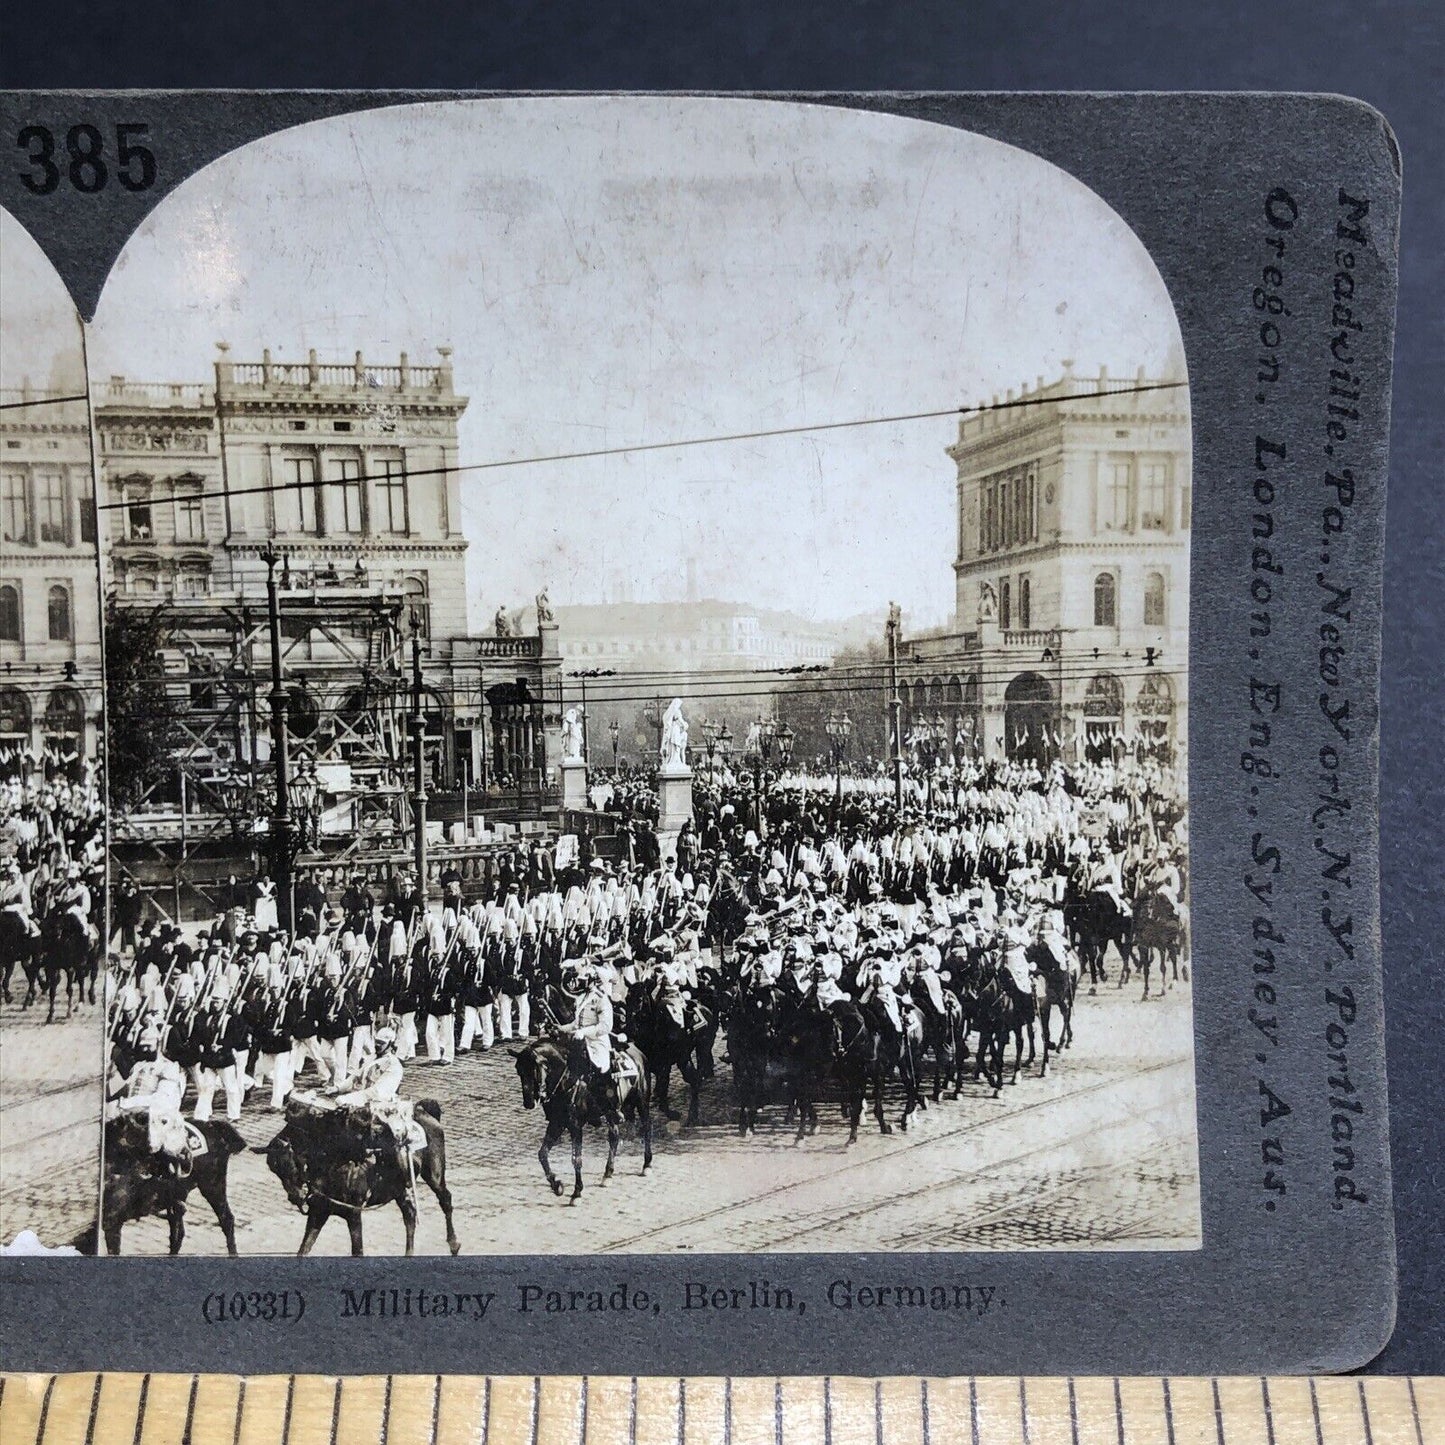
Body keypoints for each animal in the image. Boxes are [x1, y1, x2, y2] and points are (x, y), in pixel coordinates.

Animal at [264, 1092, 456, 1254]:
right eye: (274, 1169)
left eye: (290, 1165)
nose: (294, 1198)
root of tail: (425, 1111)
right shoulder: (318, 1213)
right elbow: (303, 1249)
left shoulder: (354, 1216)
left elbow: (357, 1251)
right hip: (400, 1189)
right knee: (409, 1215)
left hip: (434, 1175)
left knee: (445, 1199)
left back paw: (454, 1244)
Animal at [511, 1034, 653, 1202]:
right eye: (518, 1070)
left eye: (534, 1070)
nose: (529, 1103)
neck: (567, 1082)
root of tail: (636, 1050)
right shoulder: (556, 1123)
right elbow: (542, 1154)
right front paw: (556, 1184)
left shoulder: (575, 1126)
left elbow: (576, 1159)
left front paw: (577, 1192)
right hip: (612, 1112)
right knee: (614, 1136)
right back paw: (608, 1174)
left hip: (642, 1101)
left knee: (646, 1128)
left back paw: (647, 1165)